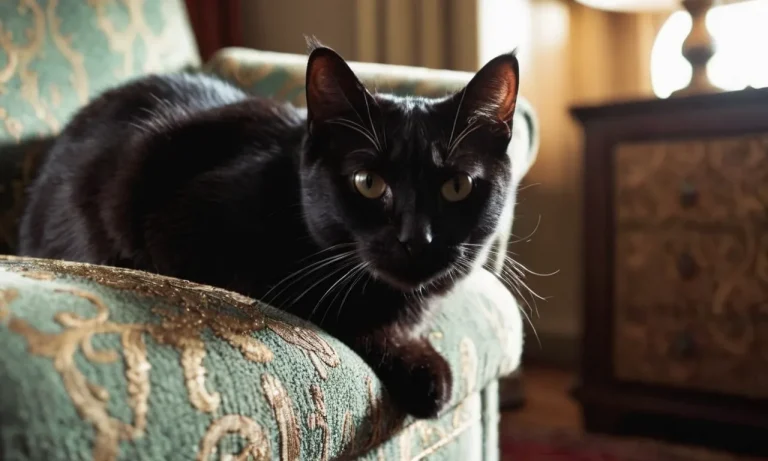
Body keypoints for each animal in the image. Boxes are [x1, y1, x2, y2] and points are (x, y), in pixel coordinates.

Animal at [18, 42, 520, 416]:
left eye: (456, 186)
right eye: (368, 183)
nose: (417, 238)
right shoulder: (175, 235)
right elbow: (328, 303)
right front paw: (422, 367)